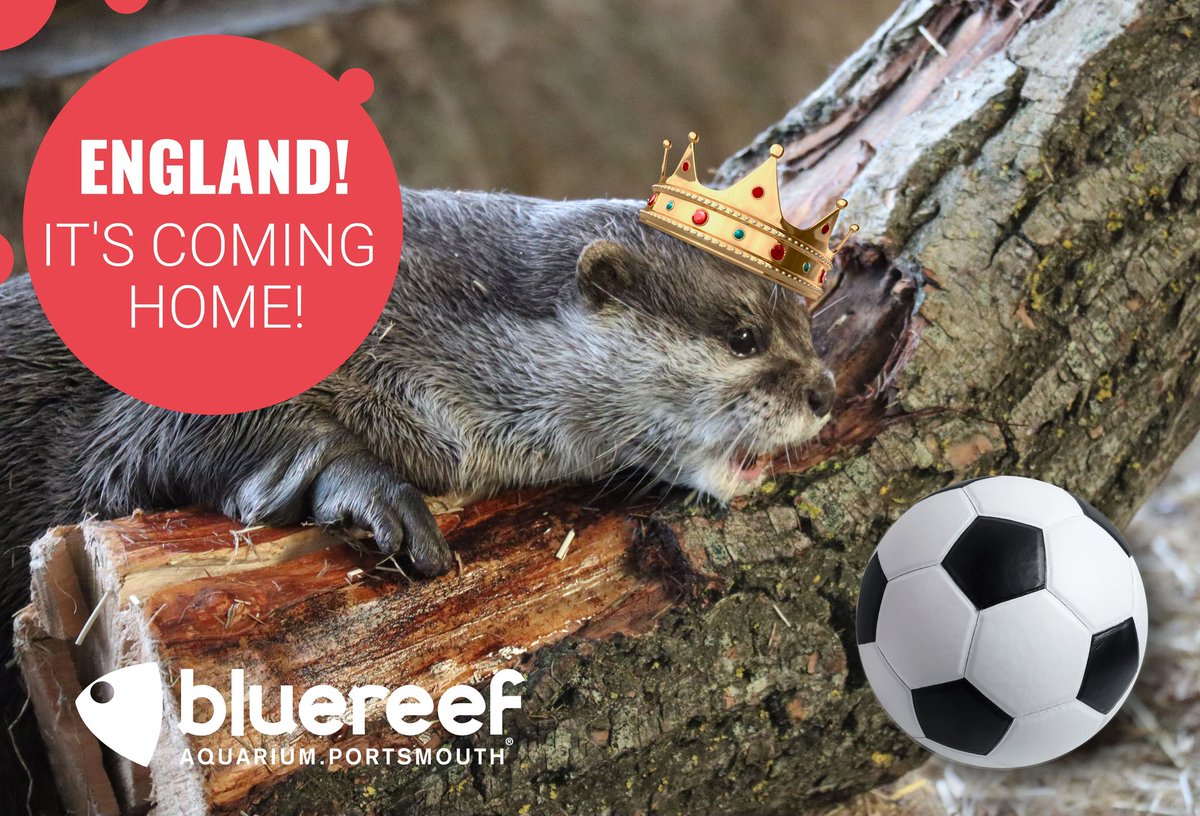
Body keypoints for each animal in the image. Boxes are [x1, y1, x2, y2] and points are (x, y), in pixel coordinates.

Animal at [0, 188, 834, 613]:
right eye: (744, 337)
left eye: (806, 323)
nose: (824, 390)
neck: (418, 320)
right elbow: (138, 444)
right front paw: (373, 493)